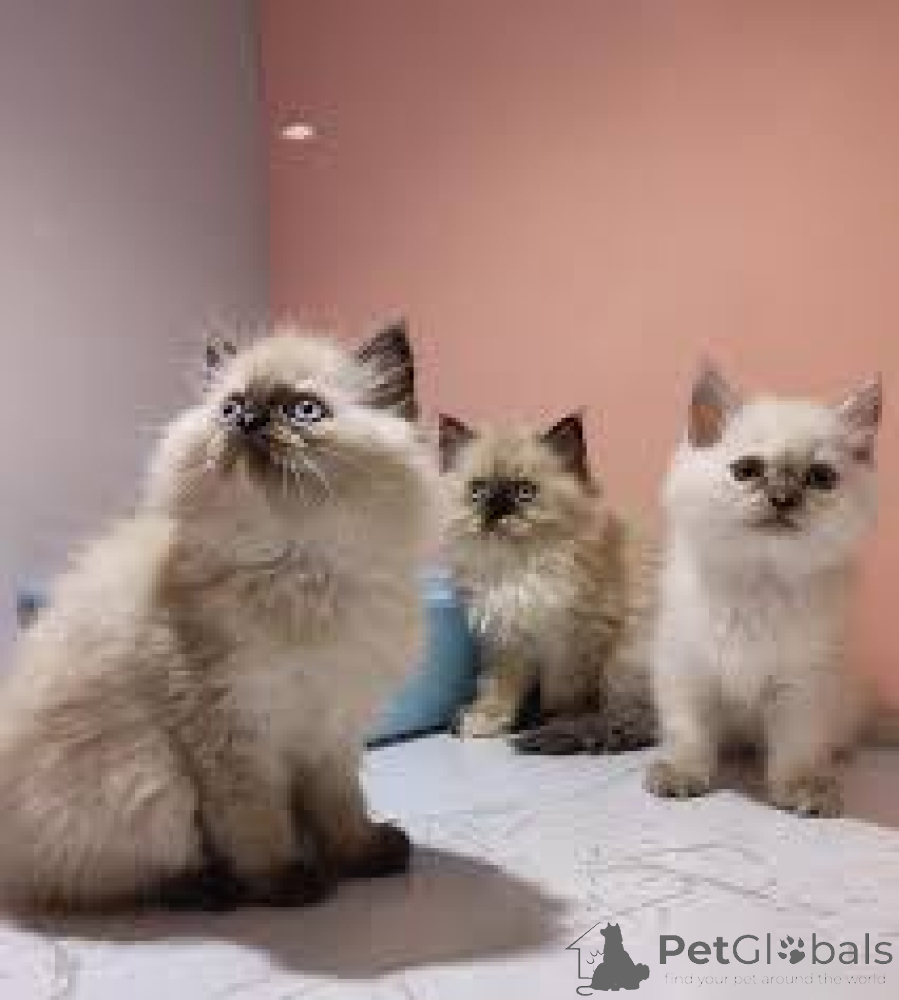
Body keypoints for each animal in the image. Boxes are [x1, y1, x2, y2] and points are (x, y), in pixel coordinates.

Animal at [0, 320, 436, 912]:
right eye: (231, 408)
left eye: (304, 410)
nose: (249, 420)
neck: (302, 570)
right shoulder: (233, 733)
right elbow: (257, 824)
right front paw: (288, 883)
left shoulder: (332, 732)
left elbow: (341, 809)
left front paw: (360, 856)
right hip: (147, 773)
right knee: (130, 879)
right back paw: (216, 890)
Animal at [438, 412, 657, 751]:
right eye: (479, 491)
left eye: (524, 492)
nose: (495, 512)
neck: (521, 570)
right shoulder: (508, 641)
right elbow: (499, 691)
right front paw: (487, 721)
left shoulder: (579, 642)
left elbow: (566, 697)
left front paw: (557, 720)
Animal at [645, 363, 882, 817]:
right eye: (747, 470)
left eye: (820, 478)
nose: (783, 498)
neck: (760, 582)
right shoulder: (686, 670)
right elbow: (688, 733)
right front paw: (680, 773)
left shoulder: (805, 685)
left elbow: (798, 749)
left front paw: (806, 789)